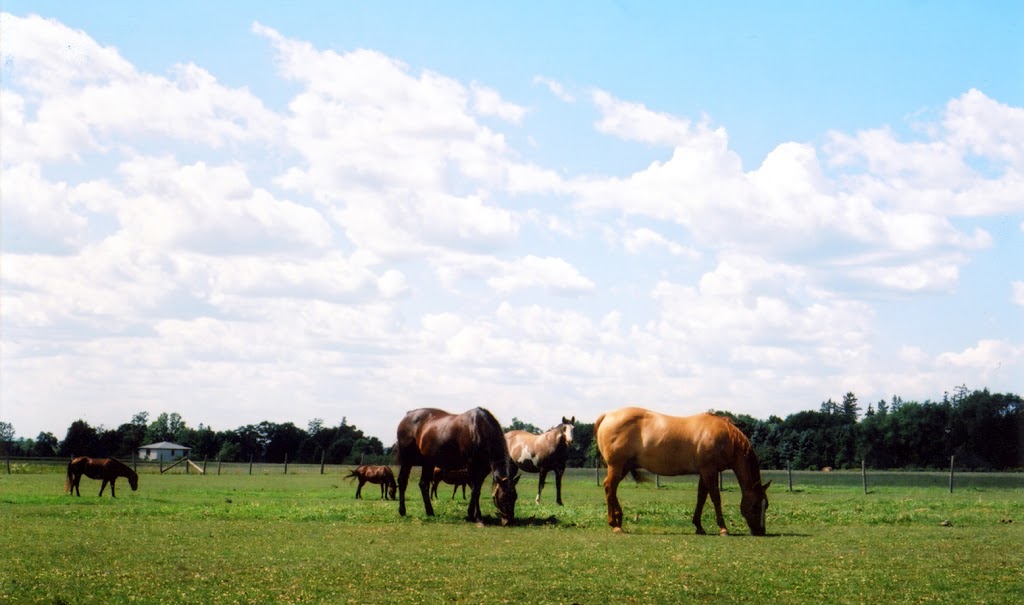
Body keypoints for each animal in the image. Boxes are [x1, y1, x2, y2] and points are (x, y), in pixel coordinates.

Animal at [598, 407, 770, 536]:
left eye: (766, 505)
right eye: (755, 505)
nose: (761, 531)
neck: (726, 437)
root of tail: (607, 416)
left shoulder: (704, 472)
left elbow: (701, 497)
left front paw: (699, 526)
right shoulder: (709, 470)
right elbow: (715, 497)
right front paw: (723, 528)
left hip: (623, 467)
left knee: (611, 489)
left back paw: (618, 520)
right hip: (617, 466)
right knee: (609, 487)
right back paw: (615, 524)